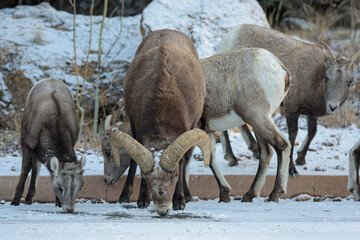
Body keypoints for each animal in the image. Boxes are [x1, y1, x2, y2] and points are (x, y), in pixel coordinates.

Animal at [11, 78, 86, 212]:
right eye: (60, 187)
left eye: (81, 186)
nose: (69, 209)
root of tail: (50, 79)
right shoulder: (25, 143)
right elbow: (26, 168)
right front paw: (15, 200)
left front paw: (58, 202)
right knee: (34, 165)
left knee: (37, 165)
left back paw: (30, 198)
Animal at [109, 28, 211, 216]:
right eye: (147, 178)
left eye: (174, 175)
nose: (163, 208)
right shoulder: (135, 126)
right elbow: (134, 162)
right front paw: (141, 200)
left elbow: (184, 161)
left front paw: (180, 202)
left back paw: (188, 196)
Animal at [201, 47, 292, 202]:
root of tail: (281, 70)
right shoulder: (208, 130)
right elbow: (210, 160)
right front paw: (224, 195)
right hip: (258, 123)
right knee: (266, 153)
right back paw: (250, 195)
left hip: (257, 118)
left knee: (282, 145)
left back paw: (274, 194)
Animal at [217, 24, 360, 175]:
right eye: (326, 78)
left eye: (349, 82)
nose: (332, 107)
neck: (315, 78)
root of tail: (229, 37)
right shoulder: (292, 110)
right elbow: (293, 135)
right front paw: (292, 169)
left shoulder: (311, 114)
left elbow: (312, 132)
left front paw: (301, 159)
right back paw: (232, 158)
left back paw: (254, 150)